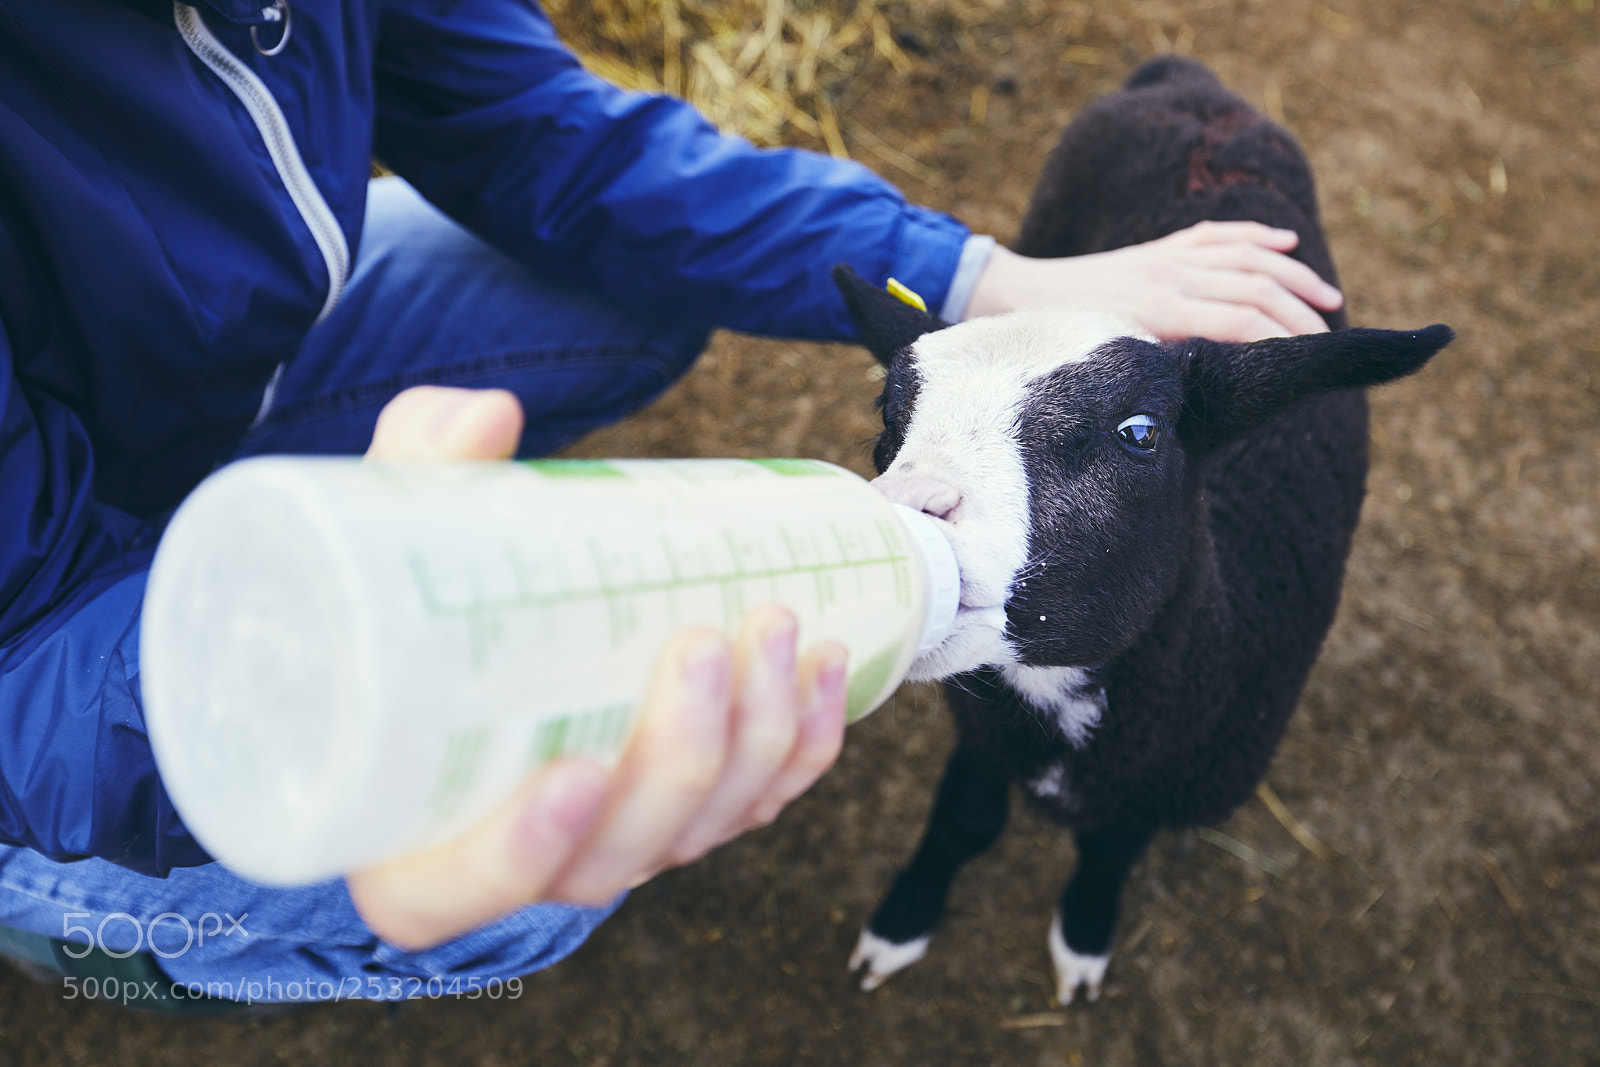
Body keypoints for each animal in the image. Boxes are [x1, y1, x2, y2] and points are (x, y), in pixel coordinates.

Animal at [832, 55, 1453, 1004]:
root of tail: (1190, 79)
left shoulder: (1154, 789)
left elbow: (1108, 851)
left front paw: (1083, 936)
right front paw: (902, 921)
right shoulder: (983, 729)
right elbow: (965, 821)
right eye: (887, 416)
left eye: (1138, 432)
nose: (898, 524)